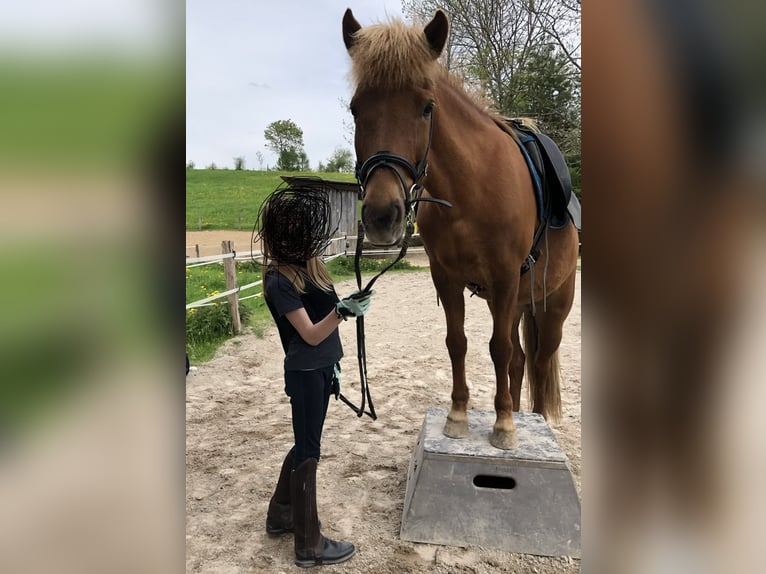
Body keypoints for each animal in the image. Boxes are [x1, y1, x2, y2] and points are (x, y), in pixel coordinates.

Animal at [342, 9, 579, 449]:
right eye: (355, 109)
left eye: (426, 108)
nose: (382, 216)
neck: (471, 191)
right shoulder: (447, 278)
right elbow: (458, 343)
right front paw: (459, 415)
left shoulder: (504, 278)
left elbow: (498, 349)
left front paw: (504, 426)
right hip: (514, 303)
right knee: (521, 360)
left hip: (552, 304)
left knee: (538, 361)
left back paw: (533, 419)